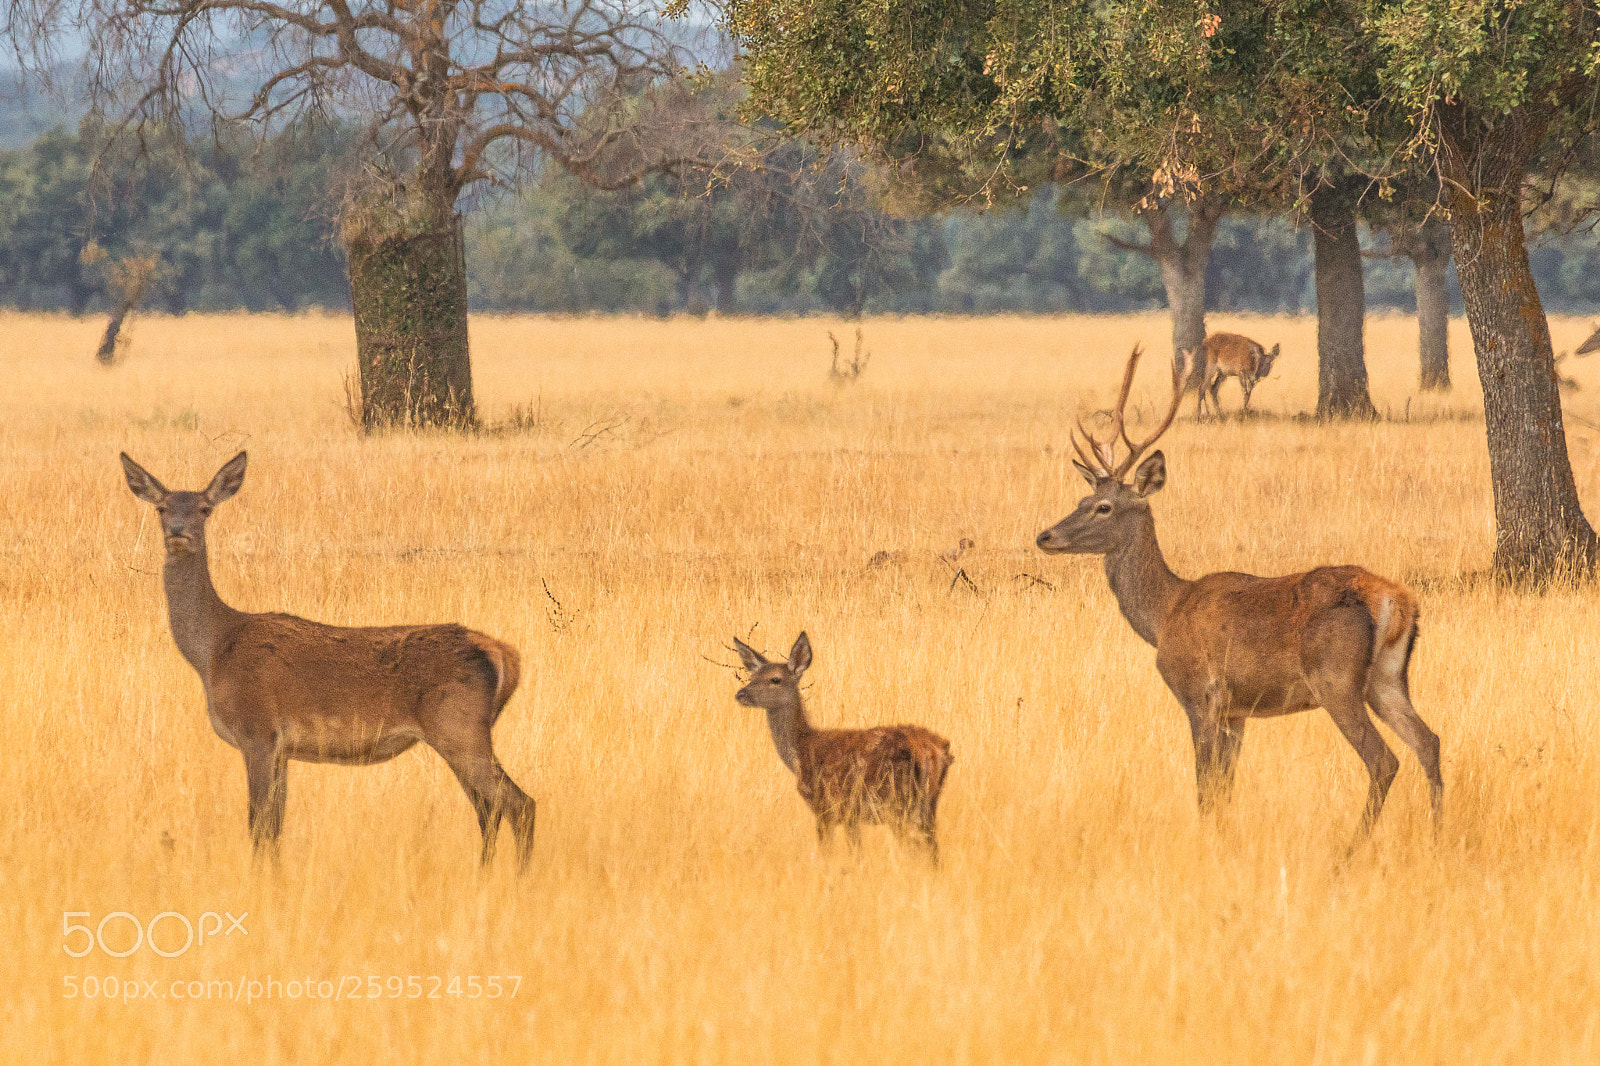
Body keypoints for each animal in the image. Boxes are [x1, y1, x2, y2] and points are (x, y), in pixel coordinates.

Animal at [119, 451, 537, 869]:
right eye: (161, 507)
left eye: (205, 509)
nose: (178, 531)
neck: (214, 650)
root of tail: (504, 653)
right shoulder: (282, 749)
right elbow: (275, 828)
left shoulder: (257, 731)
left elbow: (257, 825)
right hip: (463, 732)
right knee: (488, 810)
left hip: (457, 726)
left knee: (519, 804)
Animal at [731, 633, 952, 864]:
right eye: (752, 676)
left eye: (775, 679)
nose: (741, 694)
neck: (803, 750)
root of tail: (931, 750)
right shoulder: (849, 815)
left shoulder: (829, 806)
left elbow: (833, 853)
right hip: (925, 806)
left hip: (897, 802)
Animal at [1035, 347, 1442, 842]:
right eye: (1080, 500)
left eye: (1104, 507)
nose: (1045, 536)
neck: (1165, 614)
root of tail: (1396, 602)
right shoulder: (1237, 712)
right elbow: (1226, 788)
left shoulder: (1201, 694)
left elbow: (1205, 787)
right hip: (1387, 678)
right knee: (1429, 741)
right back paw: (1436, 836)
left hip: (1336, 678)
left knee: (1383, 759)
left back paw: (1352, 847)